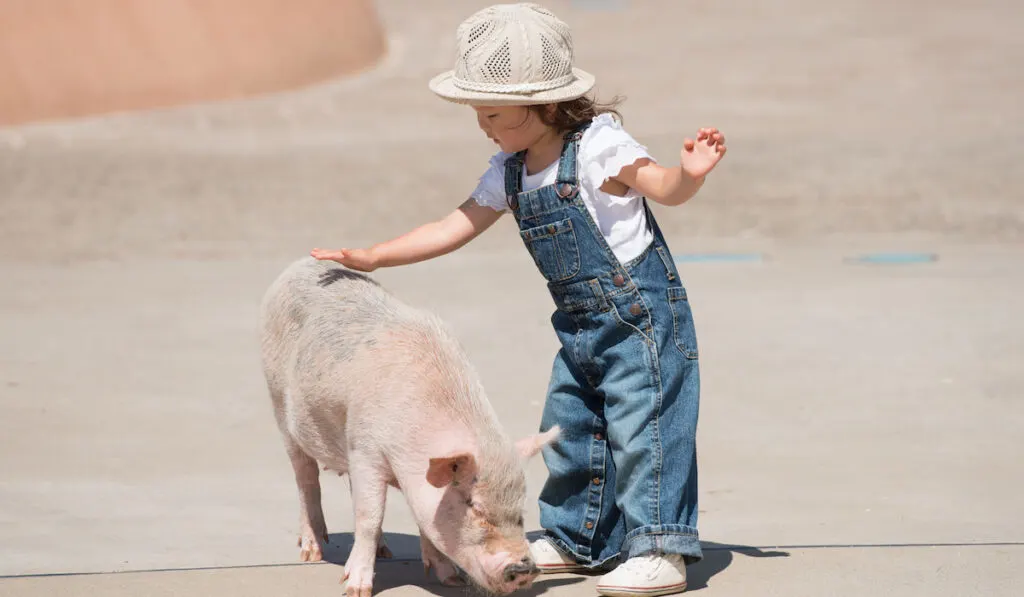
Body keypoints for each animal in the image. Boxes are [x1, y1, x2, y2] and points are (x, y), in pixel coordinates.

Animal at [260, 259, 557, 593]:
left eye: (520, 511)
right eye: (474, 506)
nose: (524, 568)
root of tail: (302, 264)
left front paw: (450, 579)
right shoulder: (366, 449)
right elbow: (370, 516)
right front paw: (356, 589)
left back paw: (384, 551)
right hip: (279, 404)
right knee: (305, 478)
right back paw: (312, 552)